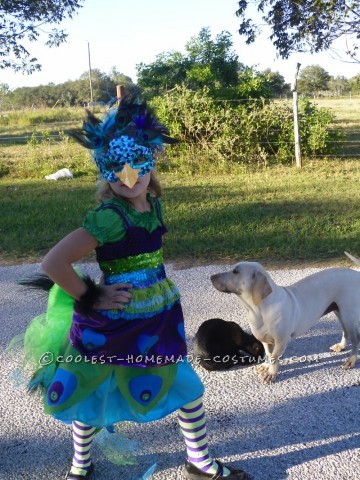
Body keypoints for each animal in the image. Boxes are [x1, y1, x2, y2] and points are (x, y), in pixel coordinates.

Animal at [211, 255, 360, 382]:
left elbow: (274, 357)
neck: (258, 309)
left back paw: (351, 360)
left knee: (355, 340)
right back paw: (341, 346)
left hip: (348, 315)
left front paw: (271, 373)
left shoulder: (281, 341)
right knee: (345, 332)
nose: (211, 276)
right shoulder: (264, 339)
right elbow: (268, 354)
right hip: (340, 312)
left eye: (235, 271)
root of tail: (355, 274)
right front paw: (266, 366)